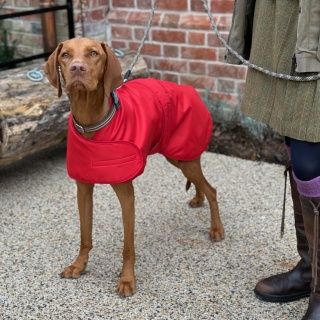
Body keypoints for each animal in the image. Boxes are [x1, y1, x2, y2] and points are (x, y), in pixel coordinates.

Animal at [44, 38, 225, 298]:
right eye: (65, 55)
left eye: (94, 53)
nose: (77, 69)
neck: (92, 122)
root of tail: (190, 90)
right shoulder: (83, 190)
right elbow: (85, 235)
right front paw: (79, 265)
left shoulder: (127, 195)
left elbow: (128, 246)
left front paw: (127, 280)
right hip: (178, 155)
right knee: (201, 182)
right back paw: (198, 199)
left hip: (183, 157)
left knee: (212, 189)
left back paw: (216, 228)